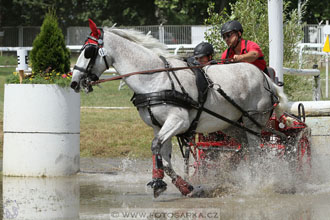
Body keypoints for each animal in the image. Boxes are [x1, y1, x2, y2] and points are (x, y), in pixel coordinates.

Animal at [71, 19, 288, 197]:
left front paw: (158, 182)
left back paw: (258, 183)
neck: (155, 79)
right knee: (245, 149)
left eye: (88, 51)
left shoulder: (178, 121)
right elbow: (164, 157)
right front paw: (185, 187)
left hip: (253, 123)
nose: (74, 83)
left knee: (258, 151)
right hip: (231, 125)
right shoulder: (159, 126)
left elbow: (155, 146)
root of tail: (266, 78)